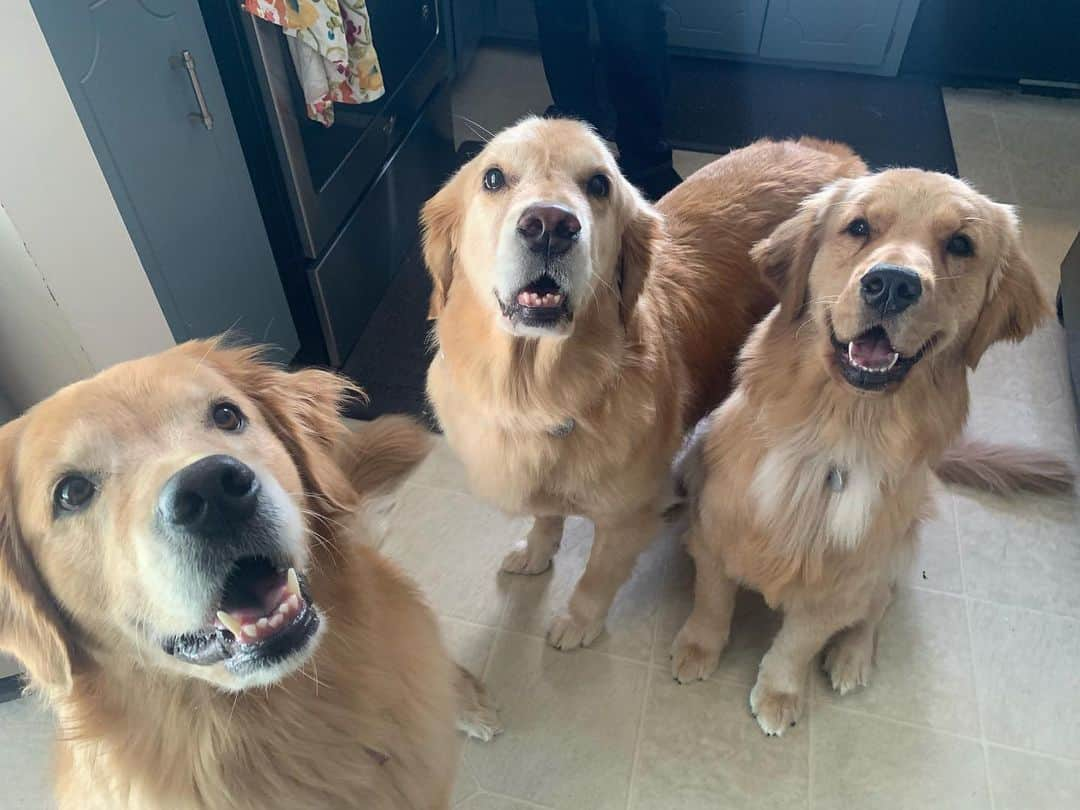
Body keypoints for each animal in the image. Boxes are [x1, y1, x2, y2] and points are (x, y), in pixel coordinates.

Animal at [419, 117, 859, 652]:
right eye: (493, 178)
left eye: (599, 184)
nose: (550, 225)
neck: (538, 391)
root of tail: (832, 152)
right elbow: (546, 515)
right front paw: (536, 551)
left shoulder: (626, 515)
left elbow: (596, 576)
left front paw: (579, 622)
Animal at [673, 169, 1071, 734]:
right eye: (858, 227)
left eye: (961, 244)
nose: (893, 284)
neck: (836, 435)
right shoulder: (712, 531)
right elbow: (712, 601)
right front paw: (697, 649)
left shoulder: (844, 583)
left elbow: (797, 643)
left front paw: (779, 693)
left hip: (898, 548)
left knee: (879, 606)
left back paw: (852, 657)